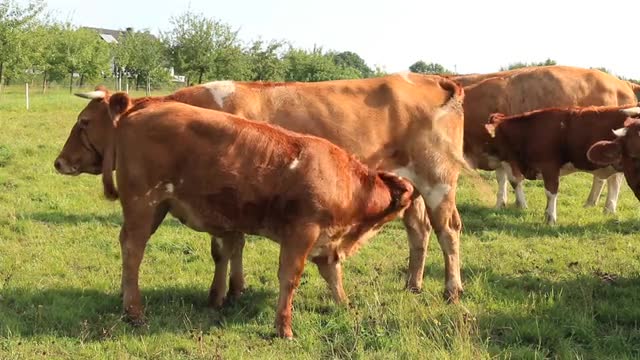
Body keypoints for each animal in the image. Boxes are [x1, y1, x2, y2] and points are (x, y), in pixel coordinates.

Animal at [53, 74, 464, 302]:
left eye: (84, 121)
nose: (59, 161)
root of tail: (432, 78)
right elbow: (233, 245)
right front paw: (235, 289)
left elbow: (225, 247)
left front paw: (224, 293)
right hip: (414, 188)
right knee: (419, 232)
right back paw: (413, 284)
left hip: (438, 183)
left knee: (448, 232)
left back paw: (452, 290)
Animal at [101, 93, 410, 340]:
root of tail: (144, 105)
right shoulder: (302, 232)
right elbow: (290, 277)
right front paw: (284, 328)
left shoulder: (325, 242)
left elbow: (333, 274)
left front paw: (344, 304)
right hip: (143, 203)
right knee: (133, 251)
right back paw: (135, 312)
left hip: (156, 207)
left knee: (127, 246)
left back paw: (124, 297)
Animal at [458, 65, 636, 211]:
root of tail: (623, 83)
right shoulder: (498, 155)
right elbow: (502, 179)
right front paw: (500, 204)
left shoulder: (508, 155)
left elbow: (514, 180)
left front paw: (521, 205)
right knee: (601, 178)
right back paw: (590, 203)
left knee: (614, 178)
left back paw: (609, 208)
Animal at [484, 103, 640, 225]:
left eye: (493, 136)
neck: (530, 131)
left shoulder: (549, 166)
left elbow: (551, 192)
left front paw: (550, 218)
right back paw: (607, 210)